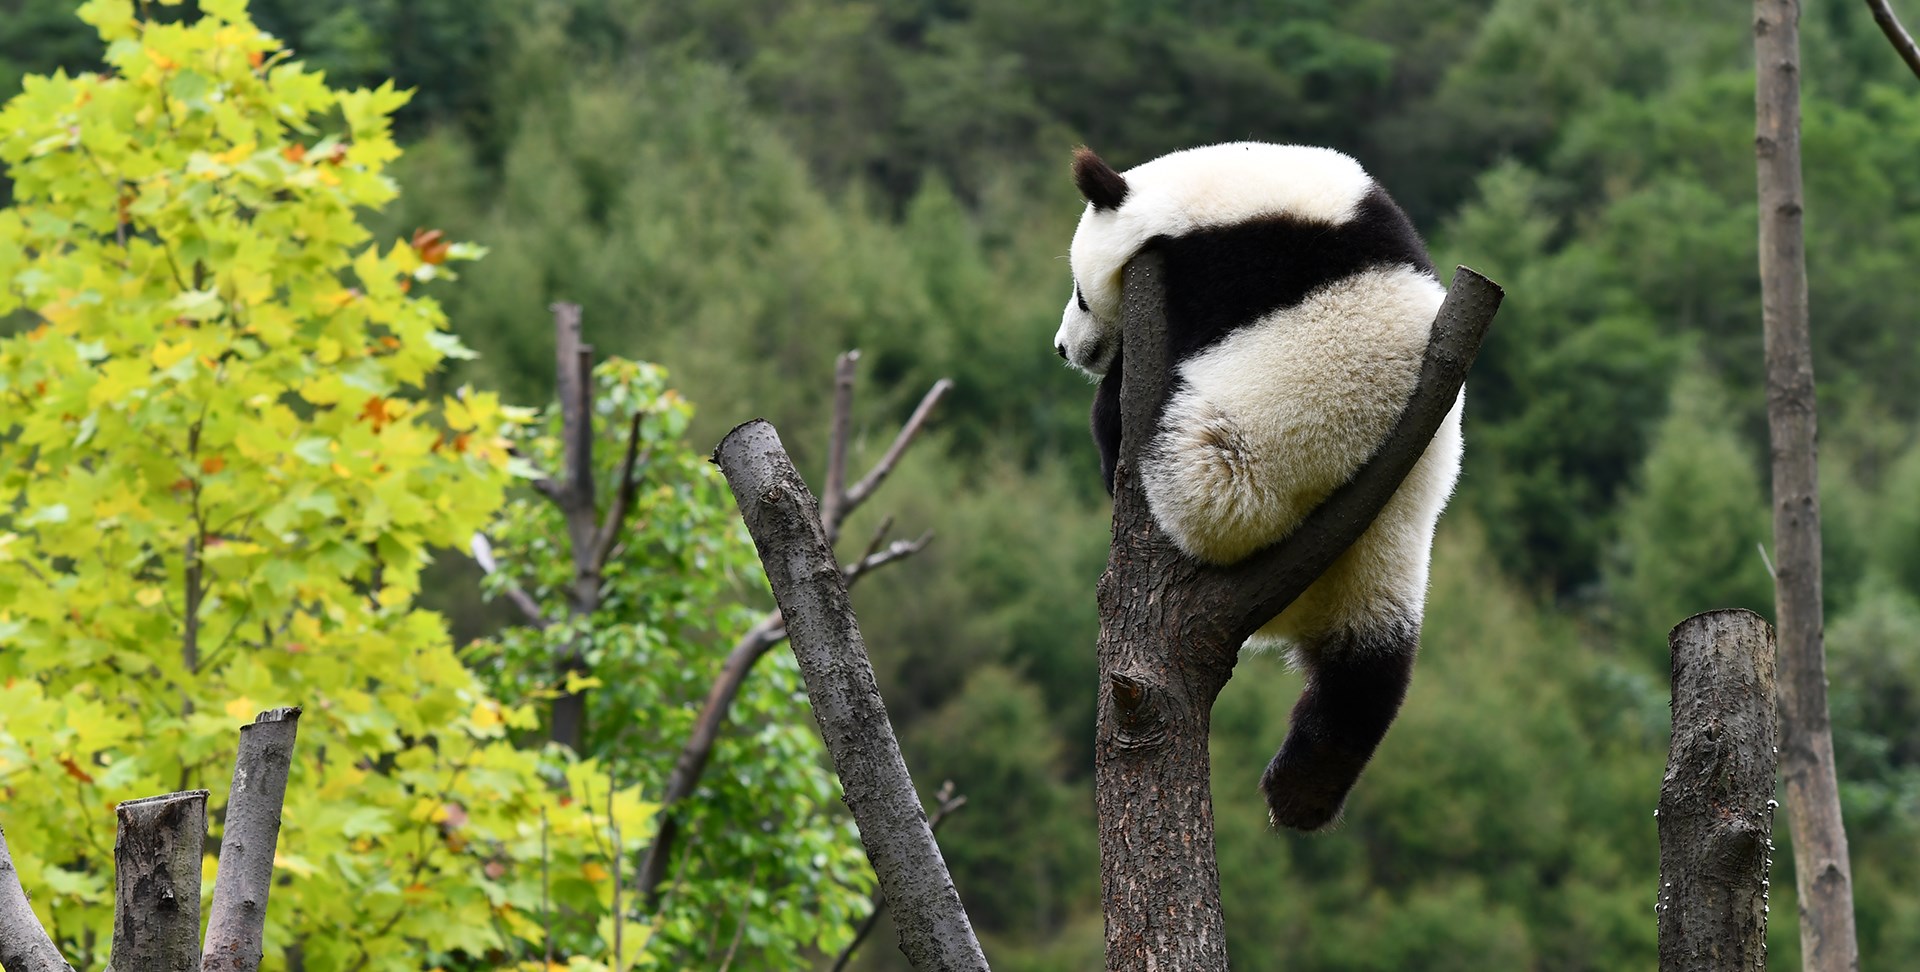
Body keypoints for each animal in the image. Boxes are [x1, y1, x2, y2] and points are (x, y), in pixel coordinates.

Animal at [1059, 140, 1459, 829]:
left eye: (1082, 295)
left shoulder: (1223, 265)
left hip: (1231, 470)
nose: (1065, 349)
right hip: (1390, 545)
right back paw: (1304, 790)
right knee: (1370, 669)